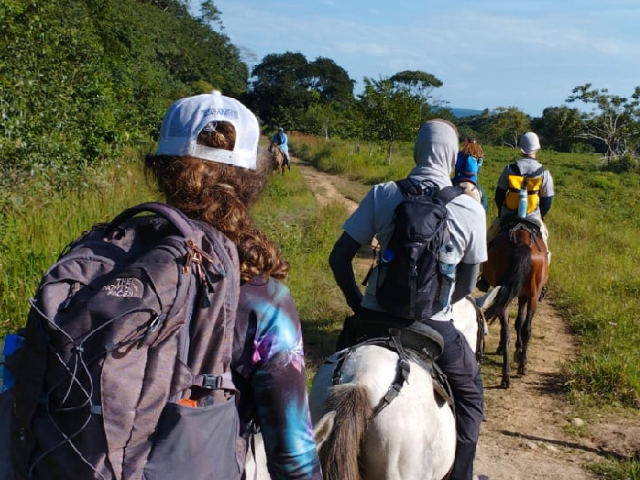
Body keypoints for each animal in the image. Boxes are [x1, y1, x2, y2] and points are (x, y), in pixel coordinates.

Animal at [482, 221, 548, 390]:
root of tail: (522, 243)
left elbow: (518, 322)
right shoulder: (523, 295)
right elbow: (519, 321)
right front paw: (518, 351)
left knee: (510, 330)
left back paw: (507, 375)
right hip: (532, 294)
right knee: (524, 328)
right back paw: (520, 366)